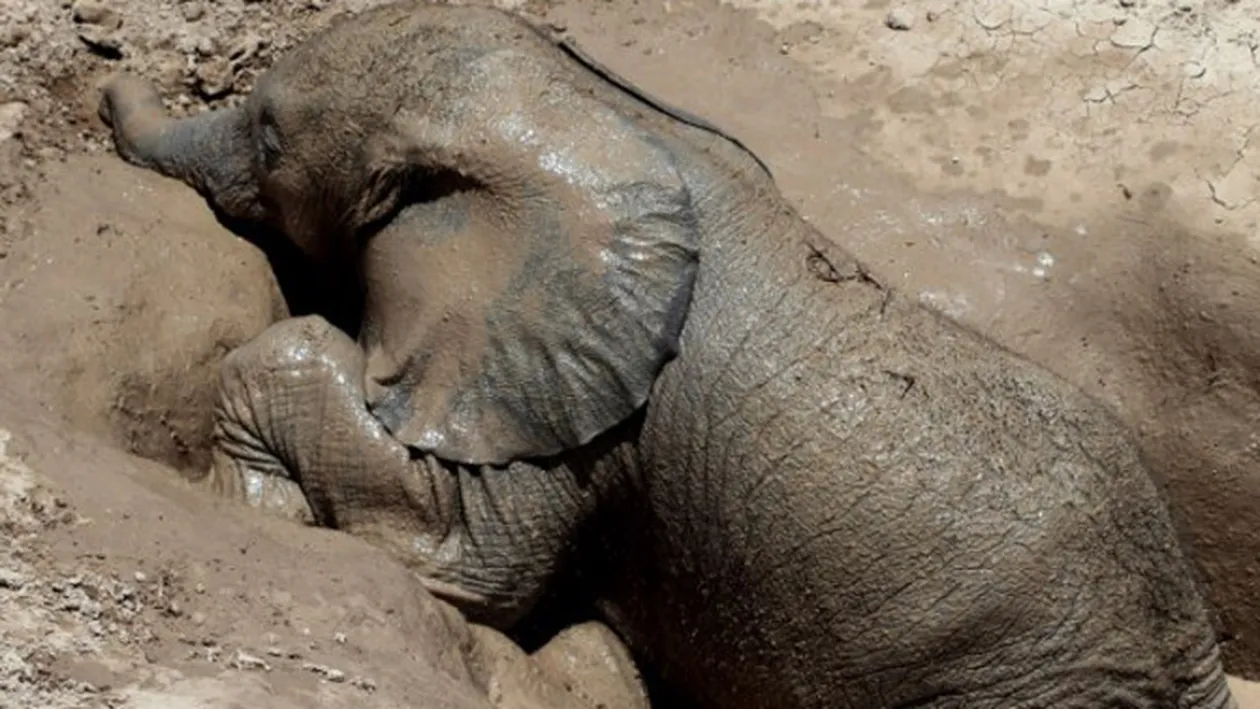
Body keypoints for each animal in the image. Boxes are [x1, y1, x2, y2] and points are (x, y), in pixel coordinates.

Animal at [96, 2, 1239, 707]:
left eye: (270, 137)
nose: (106, 84)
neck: (591, 118)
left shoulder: (562, 402)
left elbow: (475, 560)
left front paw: (254, 493)